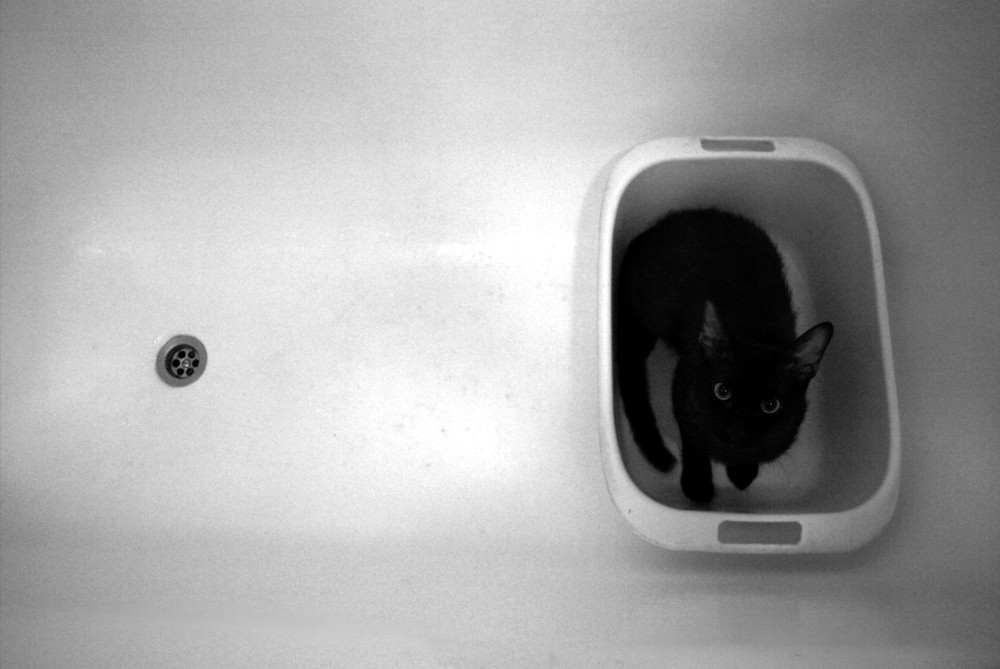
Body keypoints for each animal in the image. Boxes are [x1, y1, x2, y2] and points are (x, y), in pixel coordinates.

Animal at [616, 208, 833, 504]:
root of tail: (655, 229)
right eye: (722, 391)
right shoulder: (684, 391)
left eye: (771, 405)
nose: (737, 429)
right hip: (655, 307)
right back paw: (641, 343)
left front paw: (742, 471)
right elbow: (693, 441)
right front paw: (697, 483)